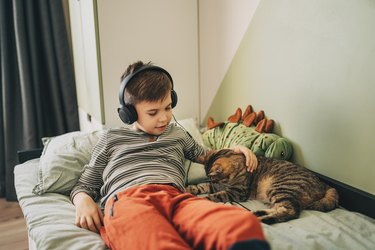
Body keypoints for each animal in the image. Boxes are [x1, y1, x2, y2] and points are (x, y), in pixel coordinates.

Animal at [188, 149, 340, 224]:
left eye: (213, 177)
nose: (213, 181)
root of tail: (325, 184)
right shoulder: (219, 186)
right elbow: (202, 186)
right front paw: (191, 189)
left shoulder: (236, 192)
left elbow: (214, 195)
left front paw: (201, 199)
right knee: (280, 207)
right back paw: (259, 213)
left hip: (279, 188)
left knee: (291, 211)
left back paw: (265, 219)